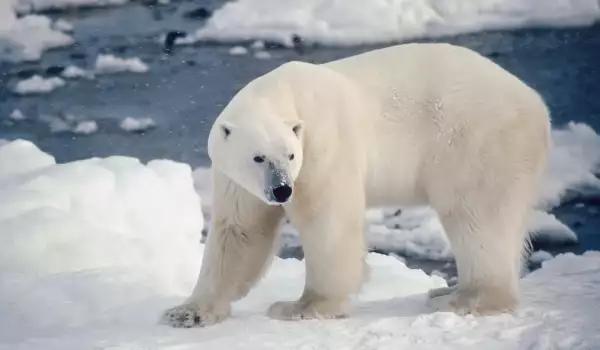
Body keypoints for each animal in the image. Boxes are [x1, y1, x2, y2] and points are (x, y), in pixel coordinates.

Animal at [162, 43, 552, 328]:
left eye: (290, 155)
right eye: (258, 157)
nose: (282, 190)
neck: (284, 92)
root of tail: (536, 104)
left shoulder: (323, 144)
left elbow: (328, 221)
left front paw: (302, 306)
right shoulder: (235, 178)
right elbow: (240, 231)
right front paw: (187, 312)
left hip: (475, 139)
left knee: (477, 216)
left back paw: (466, 298)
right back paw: (448, 291)